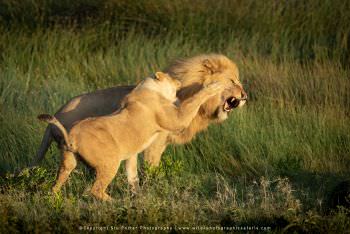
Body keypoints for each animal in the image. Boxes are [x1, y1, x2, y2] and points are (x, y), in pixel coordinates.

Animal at [38, 72, 224, 200]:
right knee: (95, 190)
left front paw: (139, 196)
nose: (179, 81)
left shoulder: (131, 154)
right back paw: (114, 202)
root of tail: (71, 139)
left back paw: (53, 198)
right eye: (170, 76)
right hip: (110, 162)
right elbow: (193, 101)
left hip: (68, 163)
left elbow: (133, 176)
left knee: (57, 184)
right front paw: (214, 86)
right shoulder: (176, 118)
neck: (146, 87)